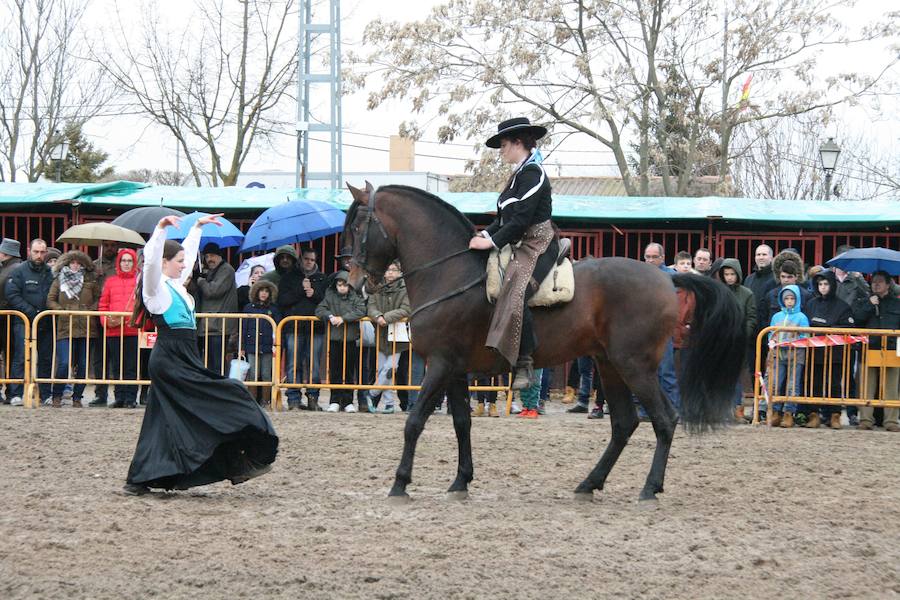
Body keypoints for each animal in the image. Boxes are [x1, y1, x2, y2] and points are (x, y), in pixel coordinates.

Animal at [342, 182, 740, 502]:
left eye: (360, 227)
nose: (356, 281)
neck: (450, 274)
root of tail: (668, 278)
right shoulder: (453, 369)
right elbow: (462, 423)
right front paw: (460, 481)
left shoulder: (439, 366)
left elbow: (414, 422)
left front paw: (400, 483)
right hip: (609, 365)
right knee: (625, 423)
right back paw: (589, 484)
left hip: (634, 366)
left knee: (663, 419)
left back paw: (649, 488)